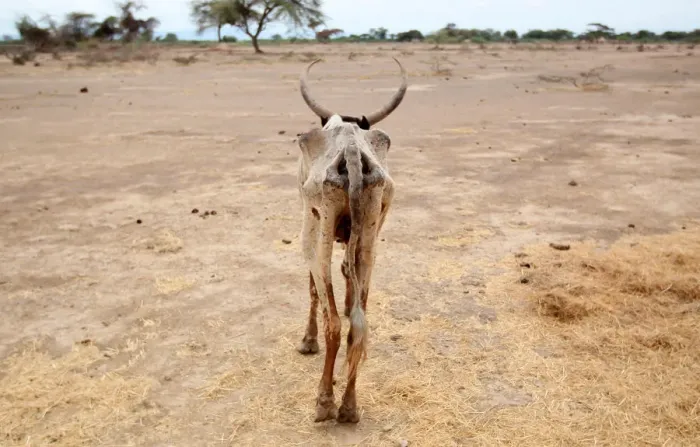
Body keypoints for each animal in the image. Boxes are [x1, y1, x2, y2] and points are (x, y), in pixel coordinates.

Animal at [294, 57, 408, 423]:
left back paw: (325, 403)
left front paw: (307, 341)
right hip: (372, 232)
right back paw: (349, 407)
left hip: (317, 233)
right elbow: (348, 272)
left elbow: (313, 289)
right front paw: (347, 301)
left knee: (331, 322)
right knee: (359, 324)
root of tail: (353, 151)